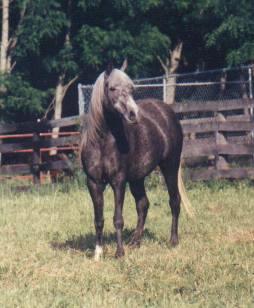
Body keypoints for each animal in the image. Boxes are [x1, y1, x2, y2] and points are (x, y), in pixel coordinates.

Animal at [80, 65, 193, 260]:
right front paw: (98, 254)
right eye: (112, 88)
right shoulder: (93, 183)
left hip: (169, 166)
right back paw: (135, 241)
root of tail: (166, 111)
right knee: (143, 204)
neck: (102, 141)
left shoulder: (118, 181)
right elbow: (99, 219)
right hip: (137, 178)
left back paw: (173, 241)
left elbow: (118, 219)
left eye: (132, 89)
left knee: (174, 201)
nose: (134, 114)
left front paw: (119, 253)